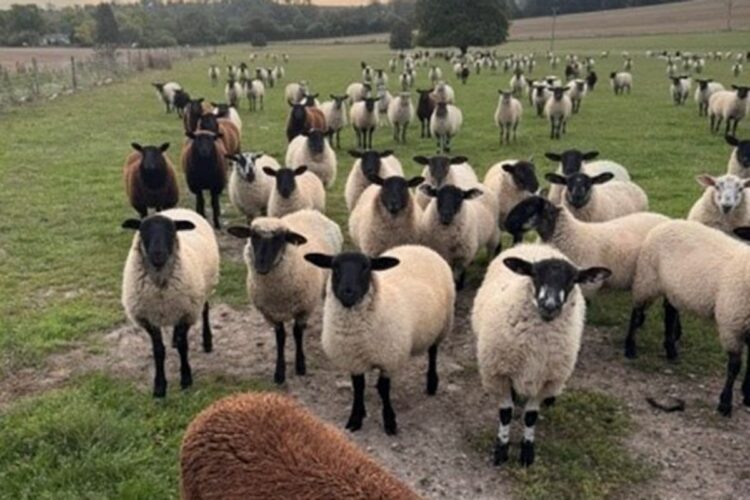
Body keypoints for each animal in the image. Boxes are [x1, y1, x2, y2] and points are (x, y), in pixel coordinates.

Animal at [121, 208, 220, 397]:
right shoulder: (149, 318)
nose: (158, 254)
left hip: (203, 290)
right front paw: (159, 387)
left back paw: (207, 341)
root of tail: (180, 209)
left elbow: (183, 345)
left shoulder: (186, 312)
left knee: (205, 311)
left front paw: (186, 380)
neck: (161, 287)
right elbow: (158, 350)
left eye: (172, 231)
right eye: (143, 230)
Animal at [227, 210, 342, 384]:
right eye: (253, 236)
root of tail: (310, 211)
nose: (261, 266)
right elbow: (280, 338)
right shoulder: (270, 314)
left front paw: (300, 366)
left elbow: (297, 333)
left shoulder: (303, 309)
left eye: (280, 238)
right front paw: (279, 373)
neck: (278, 293)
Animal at [304, 245, 455, 435]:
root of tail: (419, 246)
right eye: (335, 266)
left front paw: (389, 421)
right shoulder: (354, 360)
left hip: (442, 326)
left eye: (366, 267)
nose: (348, 292)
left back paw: (432, 383)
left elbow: (384, 390)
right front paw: (356, 417)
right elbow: (358, 388)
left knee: (433, 352)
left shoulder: (388, 360)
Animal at [472, 243, 610, 466]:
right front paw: (501, 449)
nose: (550, 306)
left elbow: (530, 416)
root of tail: (537, 245)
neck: (535, 349)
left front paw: (527, 451)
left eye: (573, 280)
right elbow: (505, 413)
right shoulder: (499, 374)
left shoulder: (546, 379)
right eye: (534, 275)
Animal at [627, 220, 750, 416]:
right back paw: (630, 348)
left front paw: (748, 396)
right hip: (647, 278)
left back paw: (671, 350)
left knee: (670, 312)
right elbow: (734, 366)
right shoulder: (732, 325)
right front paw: (725, 404)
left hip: (671, 288)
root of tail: (668, 222)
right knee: (637, 311)